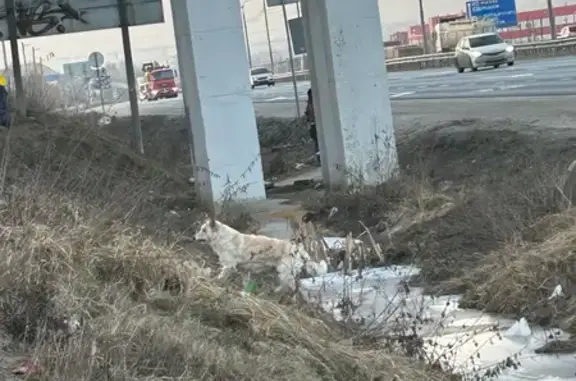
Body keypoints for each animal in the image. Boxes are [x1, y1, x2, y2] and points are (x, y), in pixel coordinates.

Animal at [195, 217, 326, 290]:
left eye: (203, 230)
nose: (193, 237)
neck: (223, 238)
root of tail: (297, 248)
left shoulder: (228, 266)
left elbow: (220, 277)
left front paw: (214, 282)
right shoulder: (244, 271)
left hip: (284, 273)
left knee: (290, 287)